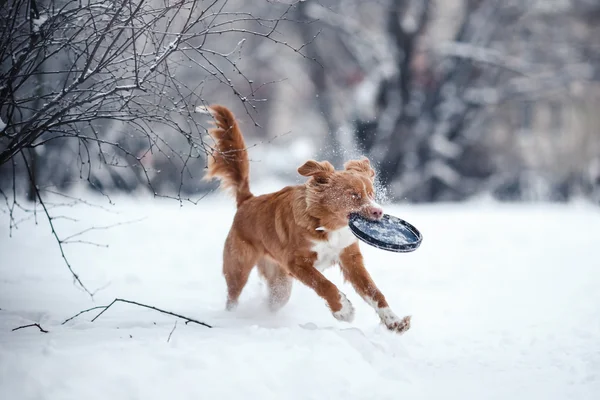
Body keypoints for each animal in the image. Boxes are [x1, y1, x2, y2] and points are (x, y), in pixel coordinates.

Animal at [204, 104, 410, 332]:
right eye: (353, 195)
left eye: (372, 194)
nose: (378, 212)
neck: (327, 225)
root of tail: (247, 200)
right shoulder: (296, 263)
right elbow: (324, 284)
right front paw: (343, 310)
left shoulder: (351, 259)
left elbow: (374, 292)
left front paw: (394, 320)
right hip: (238, 268)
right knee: (232, 297)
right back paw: (234, 318)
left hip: (280, 284)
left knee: (273, 301)